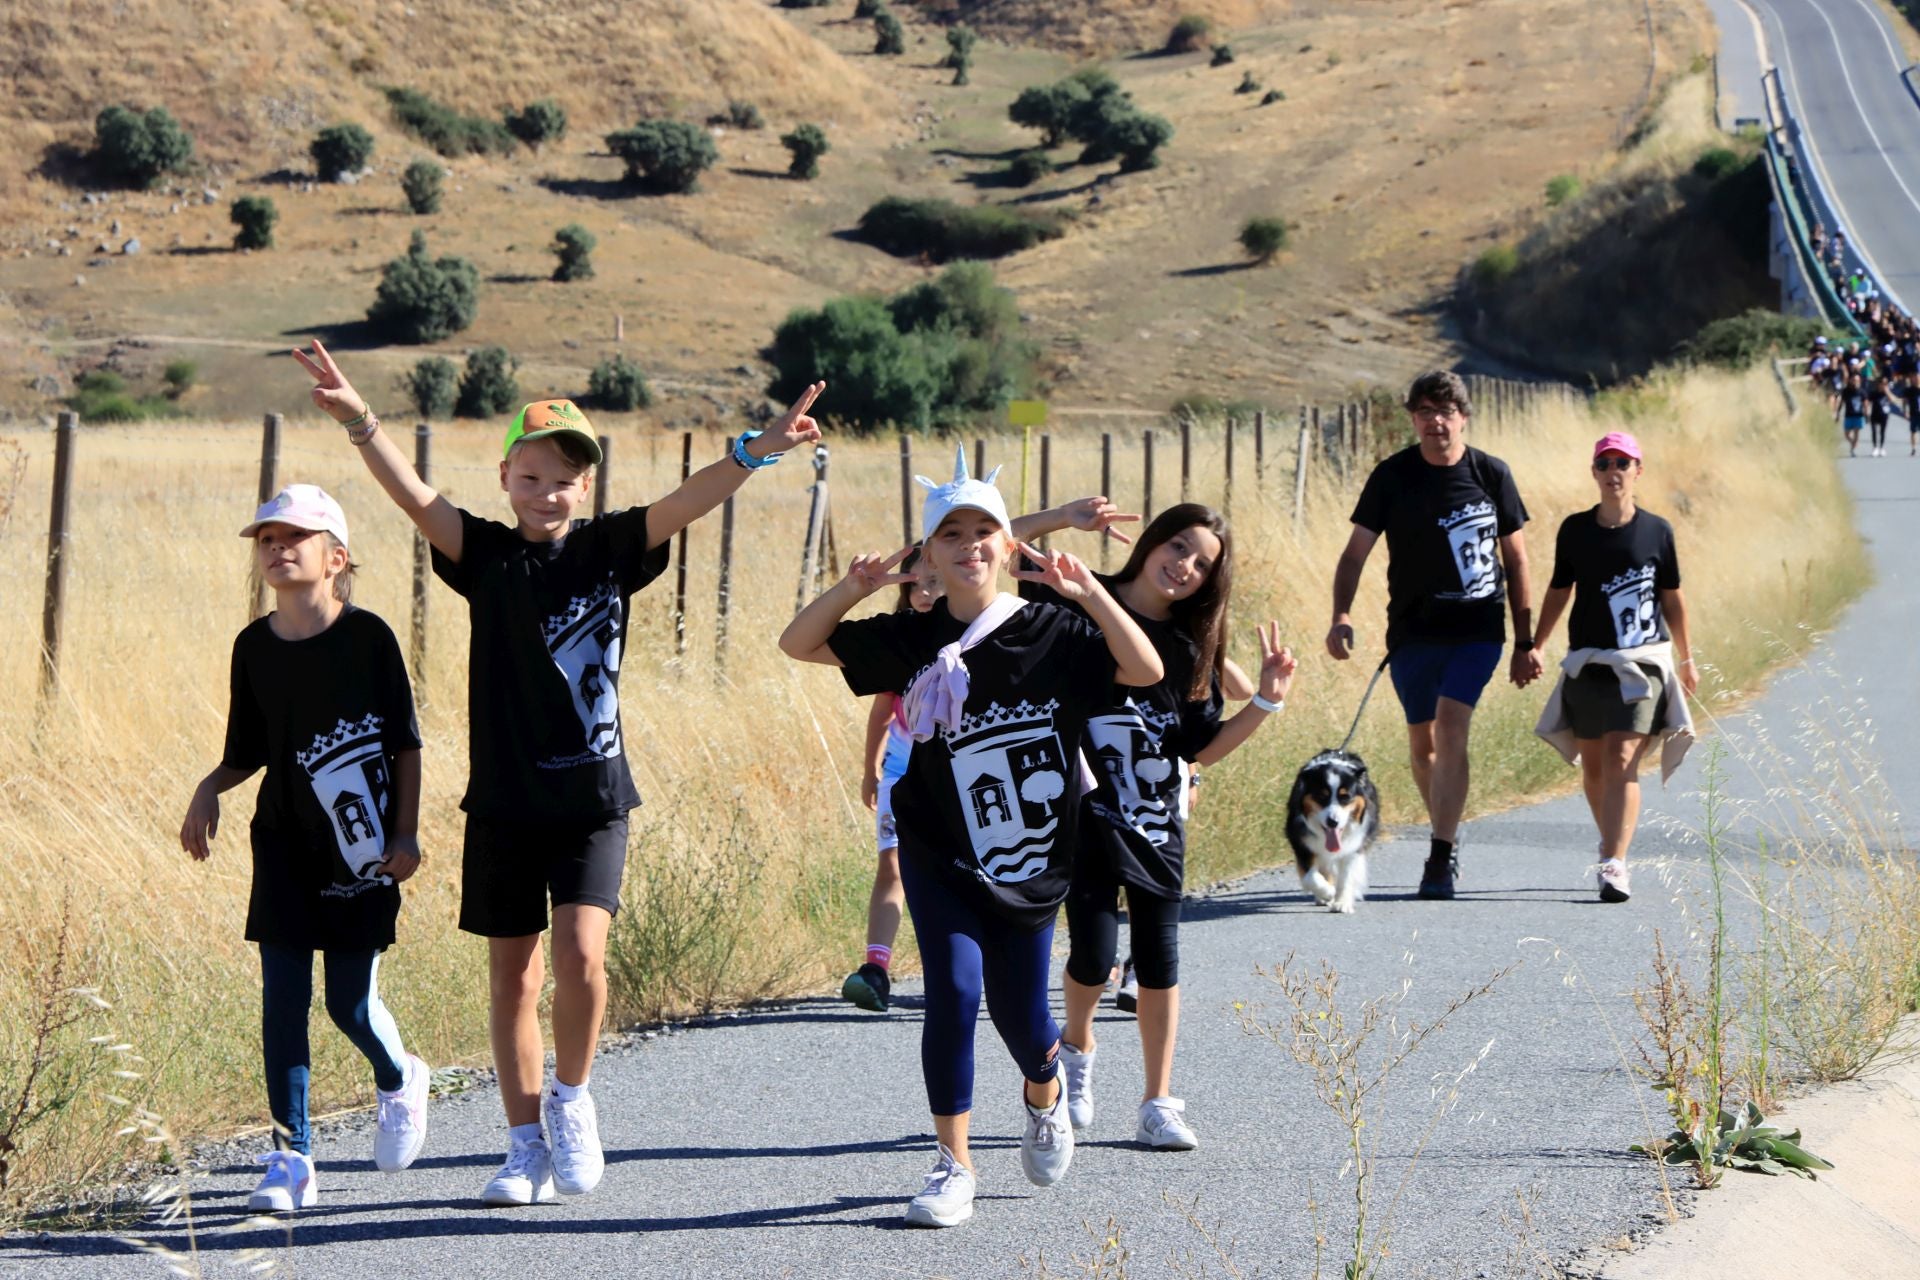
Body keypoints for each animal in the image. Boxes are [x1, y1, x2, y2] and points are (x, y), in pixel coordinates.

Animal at [1290, 744, 1382, 917]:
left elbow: (1346, 876)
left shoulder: (1353, 845)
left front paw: (1341, 903)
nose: (1333, 822)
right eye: (1321, 796)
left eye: (1345, 797)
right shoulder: (1301, 842)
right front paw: (1328, 892)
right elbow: (1310, 877)